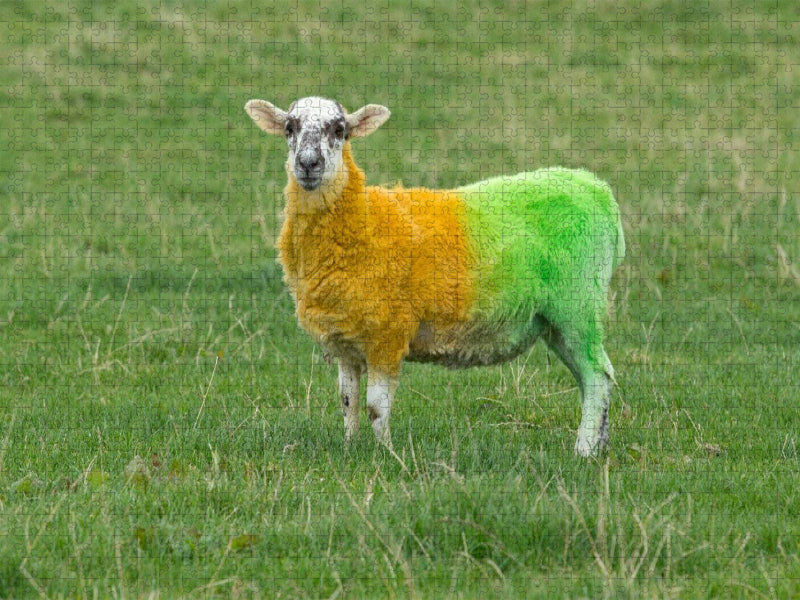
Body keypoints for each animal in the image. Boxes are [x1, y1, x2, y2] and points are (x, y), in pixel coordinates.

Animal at [245, 96, 625, 456]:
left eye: (340, 129)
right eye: (290, 127)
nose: (309, 164)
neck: (362, 218)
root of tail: (596, 189)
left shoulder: (387, 334)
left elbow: (375, 408)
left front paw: (386, 456)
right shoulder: (347, 343)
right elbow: (348, 403)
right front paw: (350, 449)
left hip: (577, 306)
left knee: (597, 376)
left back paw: (583, 451)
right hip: (555, 321)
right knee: (592, 378)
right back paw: (600, 445)